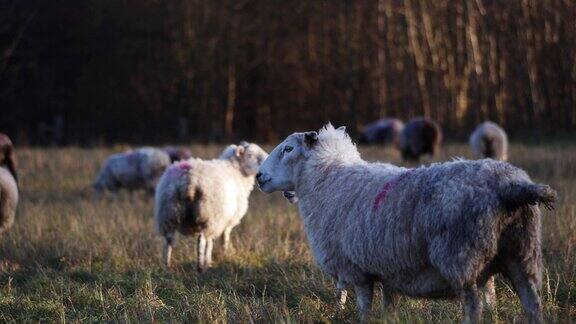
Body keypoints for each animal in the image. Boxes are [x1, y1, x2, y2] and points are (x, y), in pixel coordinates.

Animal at [154, 142, 268, 270]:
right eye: (250, 155)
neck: (237, 170)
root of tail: (189, 179)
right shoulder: (226, 221)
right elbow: (223, 238)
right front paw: (223, 255)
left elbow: (212, 241)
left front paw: (211, 259)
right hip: (208, 214)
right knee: (201, 240)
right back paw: (201, 266)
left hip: (168, 213)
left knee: (169, 241)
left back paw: (167, 265)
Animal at [256, 123, 552, 322]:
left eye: (288, 148)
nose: (259, 176)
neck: (329, 180)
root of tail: (511, 186)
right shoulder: (389, 268)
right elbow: (389, 305)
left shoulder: (357, 268)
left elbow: (364, 306)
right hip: (522, 254)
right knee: (532, 303)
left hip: (461, 257)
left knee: (474, 306)